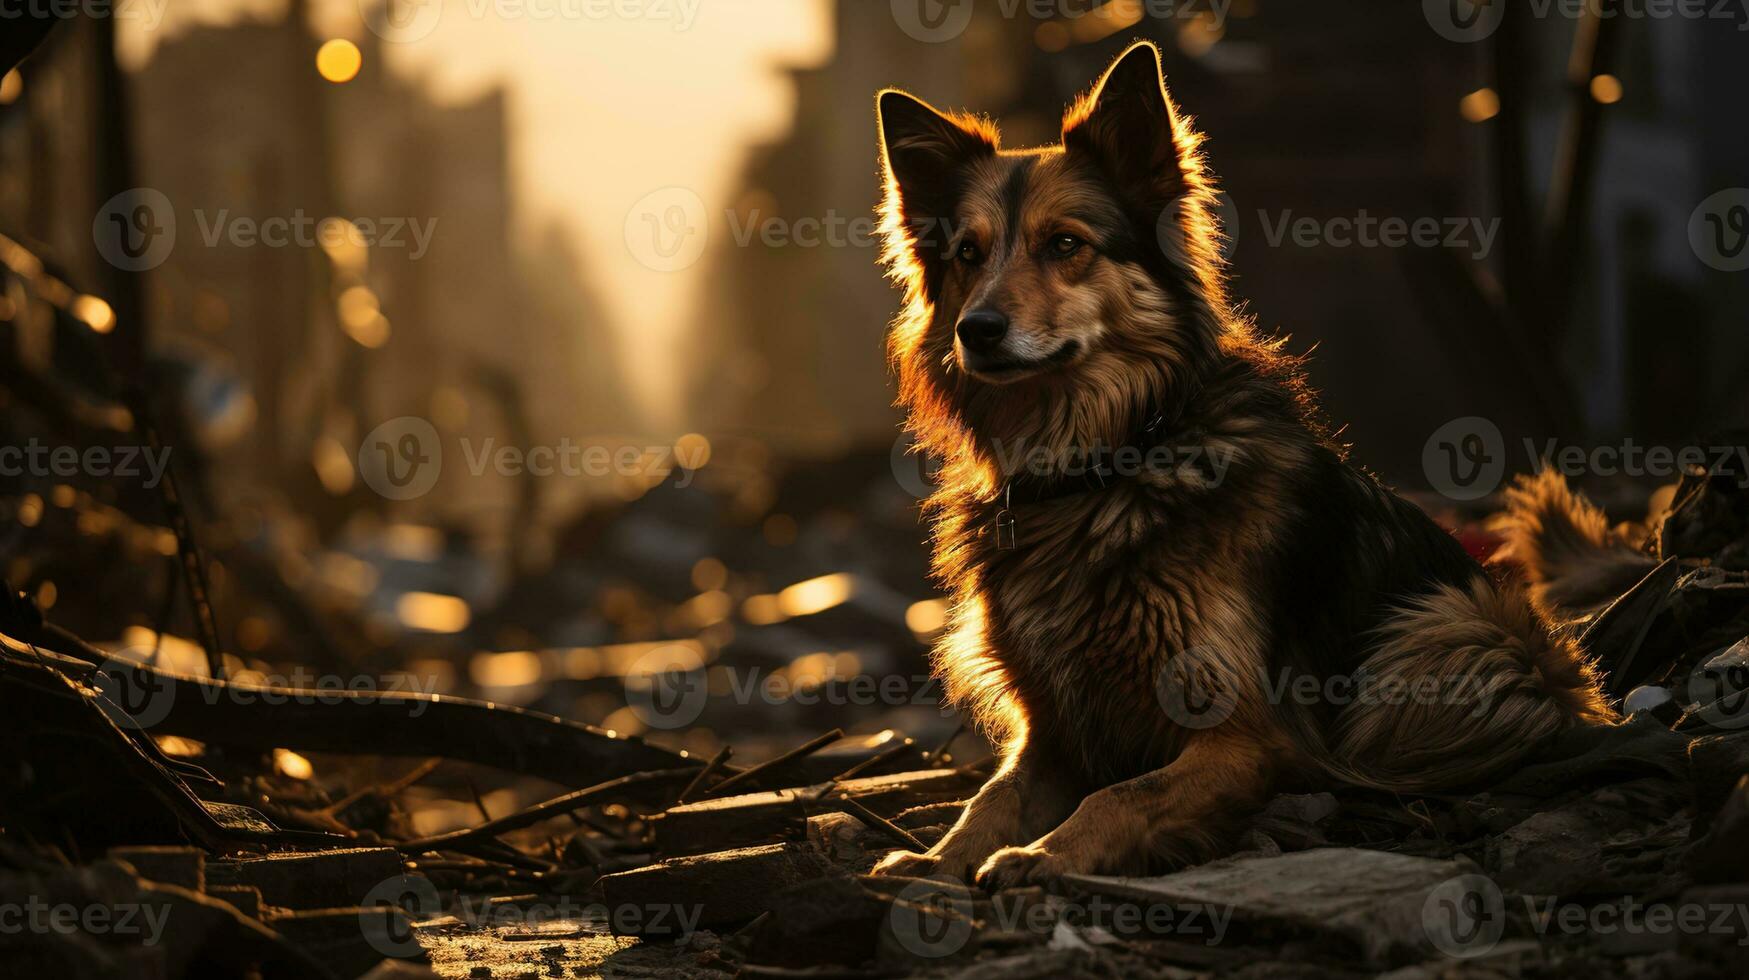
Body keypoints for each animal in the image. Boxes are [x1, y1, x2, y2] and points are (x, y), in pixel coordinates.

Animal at [867, 42, 1616, 892]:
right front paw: (933, 860)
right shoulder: (1052, 728)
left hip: (1458, 629)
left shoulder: (1244, 734)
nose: (977, 330)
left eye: (1064, 244)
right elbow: (989, 798)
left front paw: (1043, 856)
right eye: (967, 253)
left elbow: (1120, 796)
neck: (1104, 463)